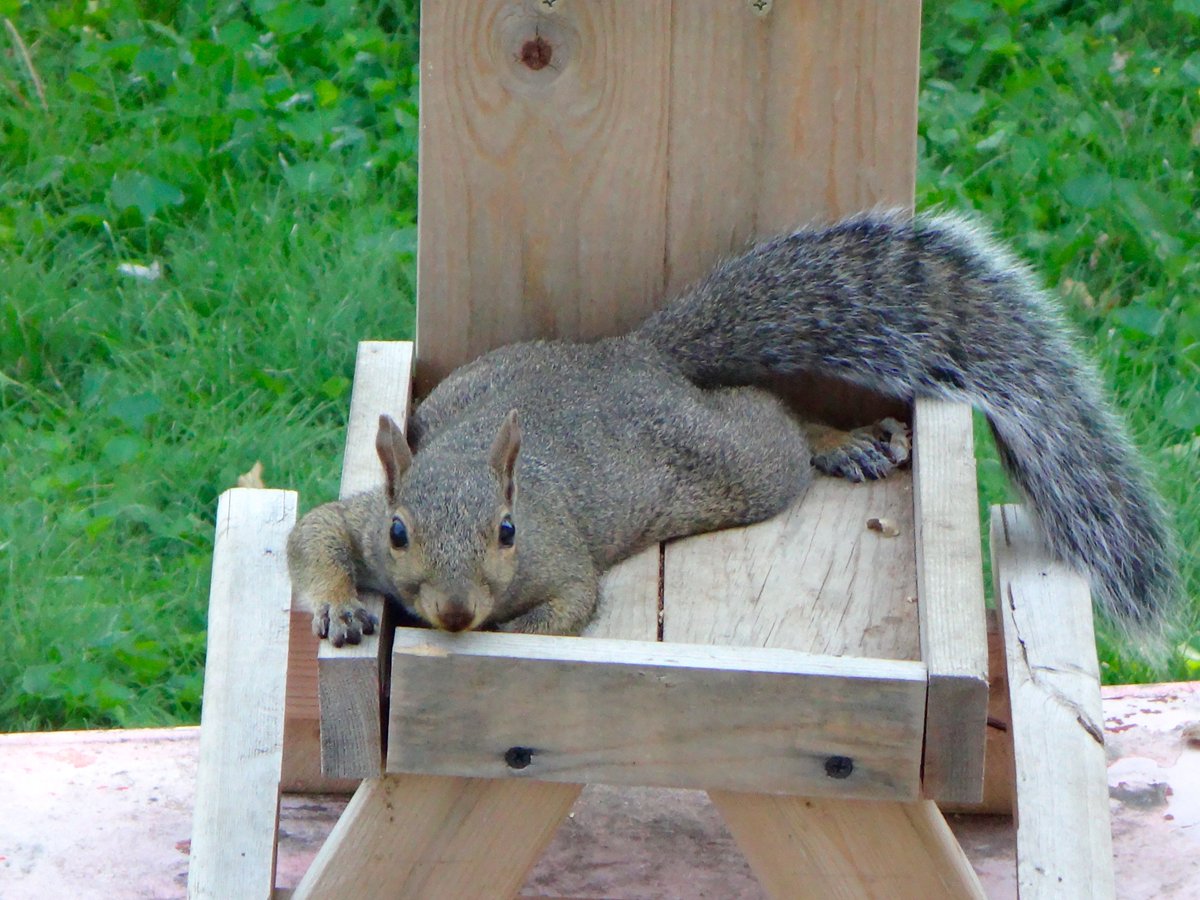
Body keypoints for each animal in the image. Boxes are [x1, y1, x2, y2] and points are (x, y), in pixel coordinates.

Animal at [292, 211, 1180, 648]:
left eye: (507, 531)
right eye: (400, 533)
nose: (450, 613)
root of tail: (638, 353)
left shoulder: (560, 559)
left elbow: (569, 606)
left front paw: (506, 628)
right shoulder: (361, 515)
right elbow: (316, 533)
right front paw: (338, 609)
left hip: (739, 461)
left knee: (771, 414)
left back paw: (837, 440)